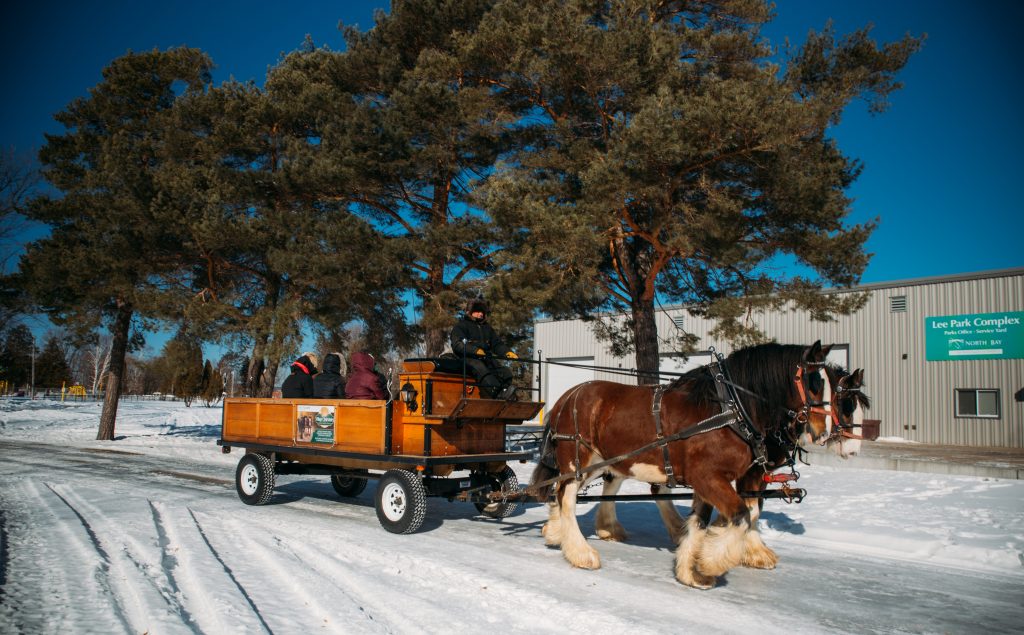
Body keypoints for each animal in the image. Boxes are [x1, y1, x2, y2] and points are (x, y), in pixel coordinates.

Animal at [532, 340, 835, 585]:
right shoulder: (709, 476)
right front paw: (710, 562)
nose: (823, 433)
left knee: (570, 491)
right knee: (567, 496)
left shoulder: (710, 480)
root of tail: (566, 397)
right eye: (814, 382)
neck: (729, 410)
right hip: (577, 459)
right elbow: (740, 515)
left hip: (601, 460)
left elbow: (702, 521)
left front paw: (693, 570)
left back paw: (562, 531)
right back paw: (580, 552)